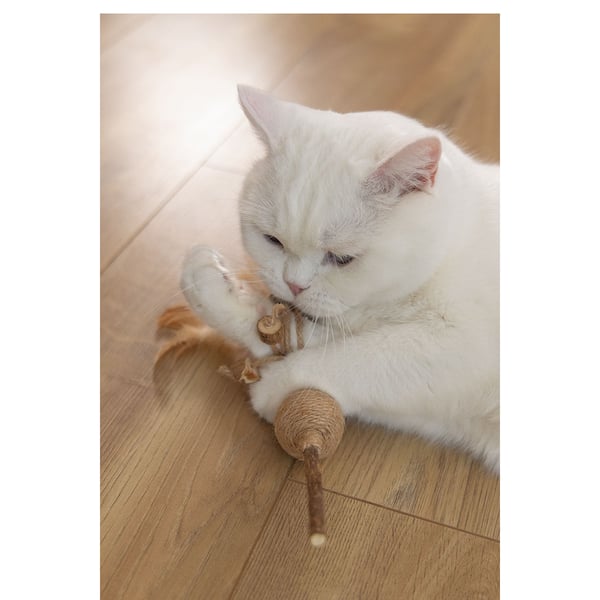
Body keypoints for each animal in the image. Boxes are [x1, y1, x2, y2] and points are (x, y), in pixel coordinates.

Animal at [181, 85, 499, 473]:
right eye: (272, 240)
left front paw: (275, 388)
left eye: (343, 259)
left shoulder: (461, 346)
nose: (294, 284)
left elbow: (352, 360)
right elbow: (292, 336)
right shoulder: (447, 408)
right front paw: (213, 286)